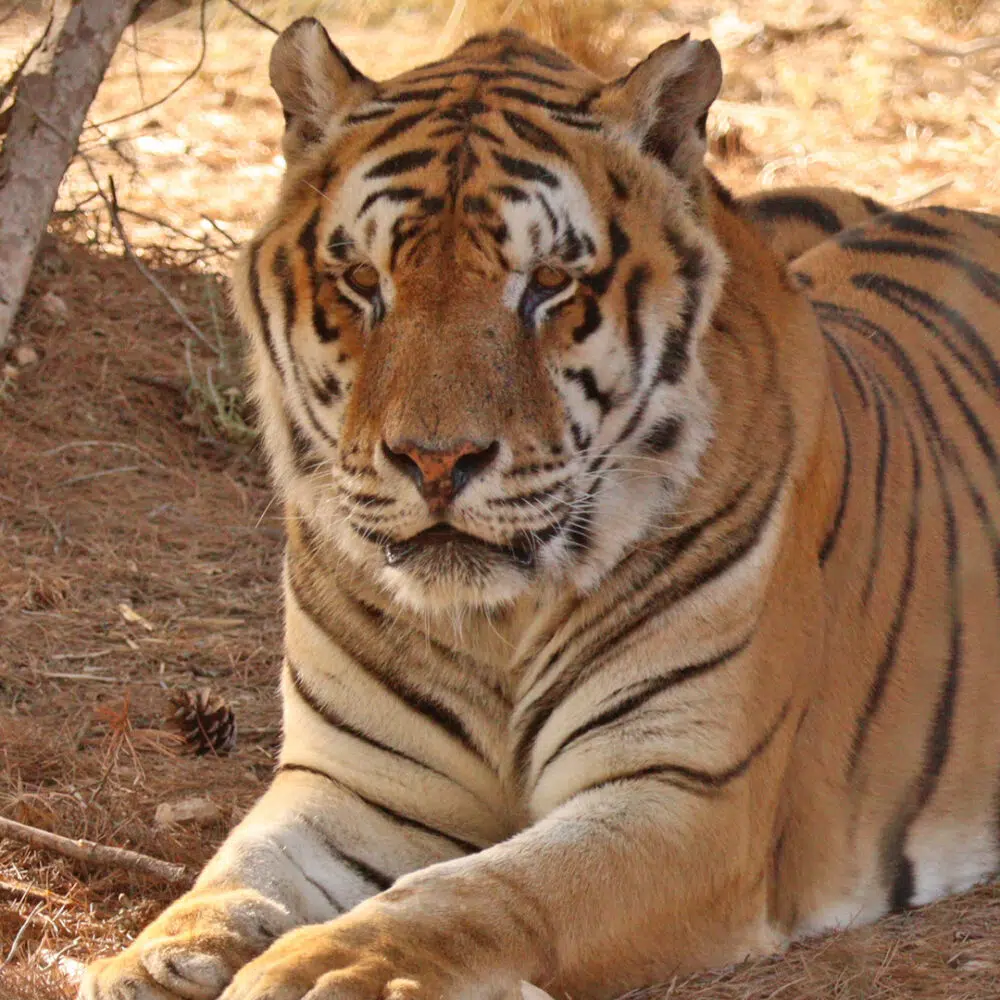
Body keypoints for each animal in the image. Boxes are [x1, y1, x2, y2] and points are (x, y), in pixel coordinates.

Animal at [80, 19, 1000, 1000]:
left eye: (550, 282)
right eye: (363, 279)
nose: (435, 461)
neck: (496, 623)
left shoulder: (683, 796)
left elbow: (474, 890)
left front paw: (323, 965)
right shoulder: (356, 783)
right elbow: (241, 867)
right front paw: (155, 957)